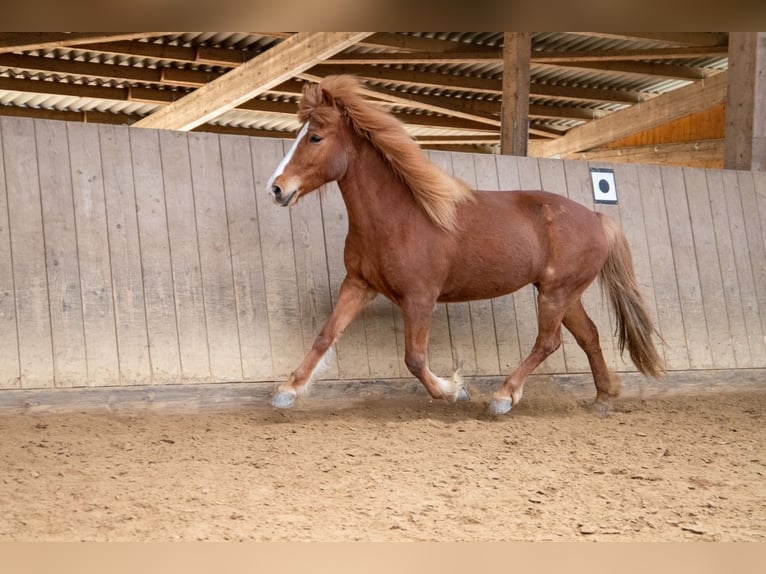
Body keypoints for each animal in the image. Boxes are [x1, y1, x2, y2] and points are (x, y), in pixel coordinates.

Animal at [266, 74, 664, 415]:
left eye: (315, 138)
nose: (276, 189)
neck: (398, 217)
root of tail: (597, 218)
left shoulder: (420, 297)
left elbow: (414, 358)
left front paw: (452, 389)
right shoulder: (358, 285)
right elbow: (326, 335)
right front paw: (287, 391)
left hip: (556, 293)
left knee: (548, 342)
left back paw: (503, 396)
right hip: (563, 293)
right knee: (589, 336)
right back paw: (602, 398)